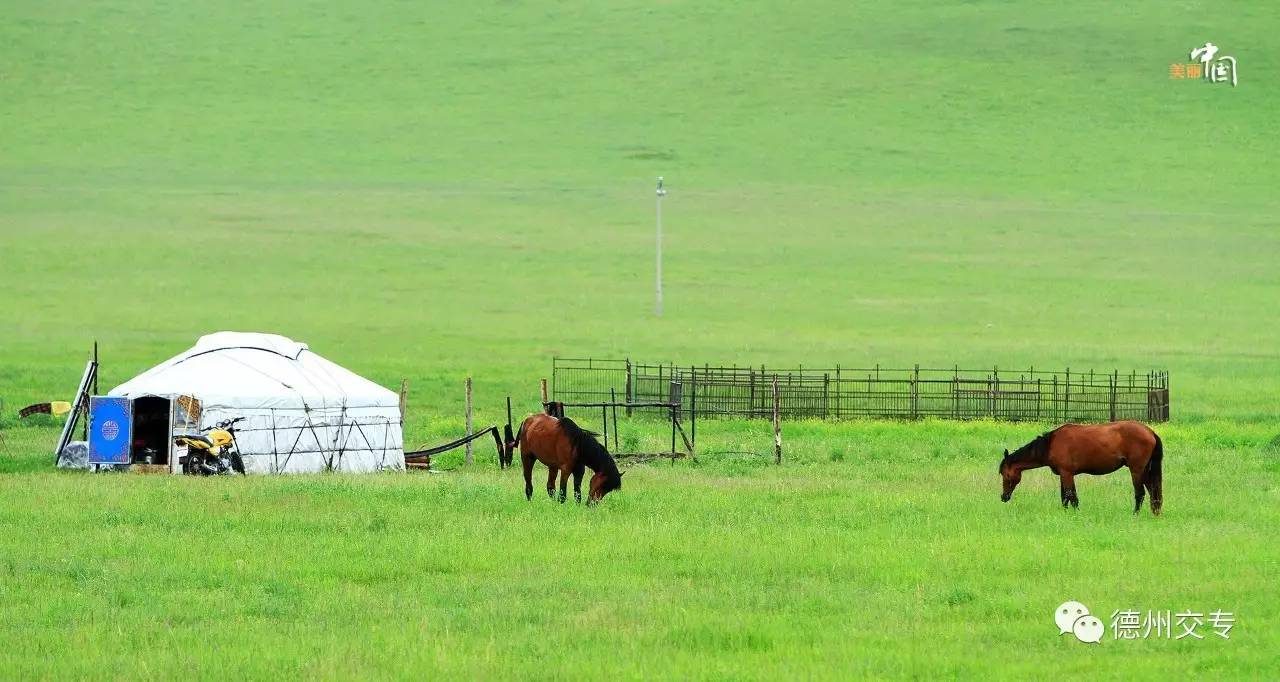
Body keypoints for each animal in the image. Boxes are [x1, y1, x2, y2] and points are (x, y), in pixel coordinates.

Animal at [1003, 417, 1167, 514]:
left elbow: (1071, 496)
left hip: (1136, 470)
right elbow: (1065, 497)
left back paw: (1135, 514)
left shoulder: (1067, 473)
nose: (1003, 497)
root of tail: (1150, 432)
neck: (1051, 445)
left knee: (1140, 493)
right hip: (1145, 471)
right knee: (1153, 491)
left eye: (1005, 475)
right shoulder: (1064, 474)